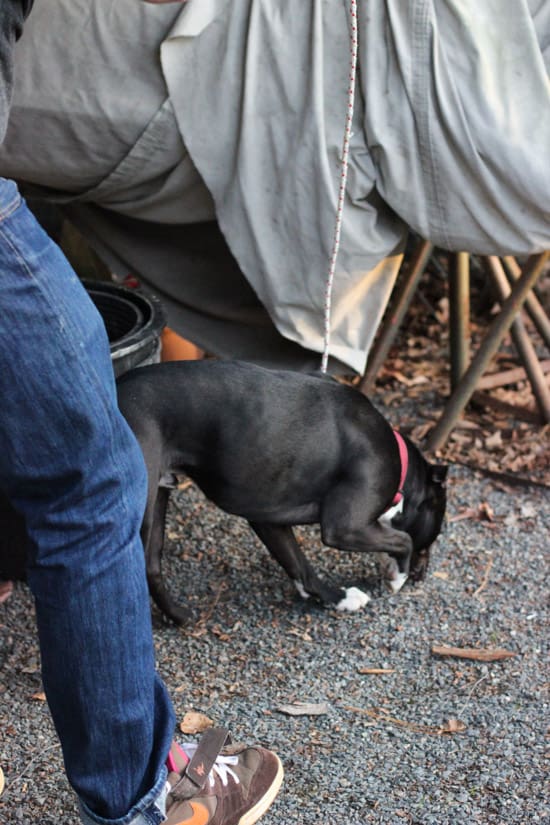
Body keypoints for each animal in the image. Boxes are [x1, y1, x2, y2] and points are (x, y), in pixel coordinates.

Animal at [116, 360, 448, 624]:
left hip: (158, 500)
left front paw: (337, 599)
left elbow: (301, 568)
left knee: (150, 567)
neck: (399, 462)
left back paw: (178, 616)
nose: (421, 576)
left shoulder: (268, 519)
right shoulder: (344, 528)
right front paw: (398, 577)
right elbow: (403, 540)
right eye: (436, 534)